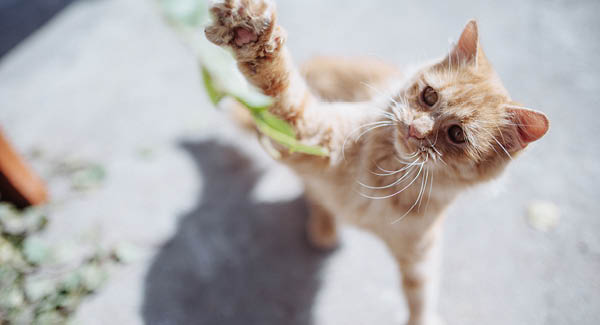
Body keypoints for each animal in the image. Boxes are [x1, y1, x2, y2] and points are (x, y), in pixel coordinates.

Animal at [205, 1, 548, 322]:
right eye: (429, 96)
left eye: (456, 134)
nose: (414, 129)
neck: (390, 179)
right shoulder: (309, 132)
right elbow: (278, 83)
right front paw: (250, 30)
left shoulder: (420, 255)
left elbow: (421, 295)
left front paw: (422, 319)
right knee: (314, 193)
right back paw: (324, 227)